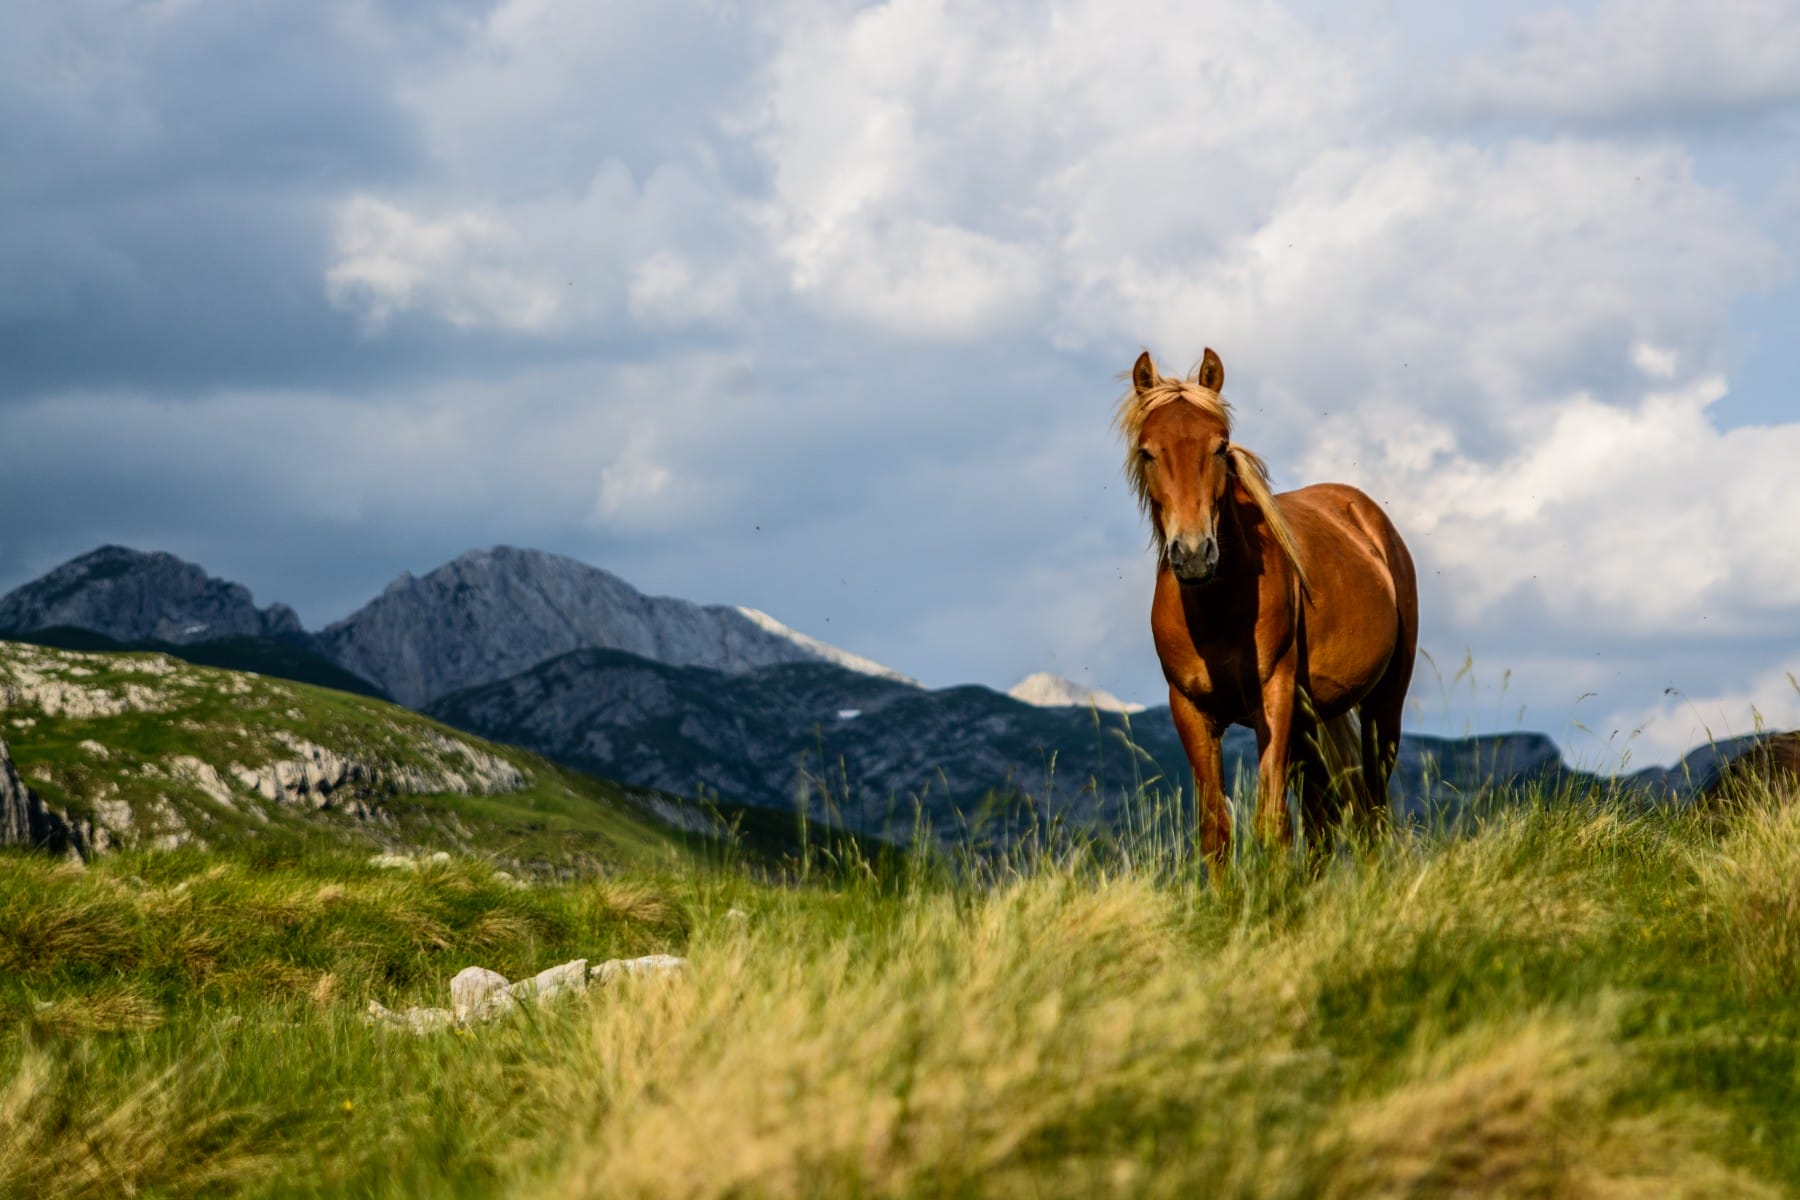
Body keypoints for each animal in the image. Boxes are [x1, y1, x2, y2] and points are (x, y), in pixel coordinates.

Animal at [1116, 348, 1417, 869]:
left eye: (1220, 446)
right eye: (1148, 451)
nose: (1193, 554)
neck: (1218, 610)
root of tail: (1370, 520)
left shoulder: (1272, 699)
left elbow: (1271, 824)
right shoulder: (1191, 710)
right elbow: (1216, 832)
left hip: (1383, 706)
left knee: (1371, 811)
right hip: (1310, 724)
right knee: (1323, 820)